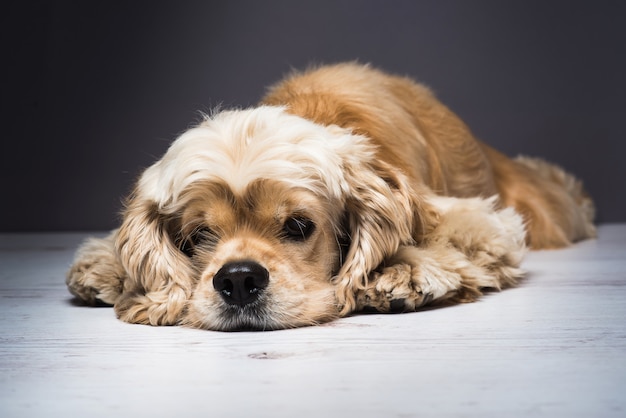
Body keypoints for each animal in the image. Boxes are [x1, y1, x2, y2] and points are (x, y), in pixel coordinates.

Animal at [66, 62, 592, 330]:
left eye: (299, 226)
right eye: (198, 236)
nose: (237, 280)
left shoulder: (486, 223)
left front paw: (401, 272)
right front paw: (109, 268)